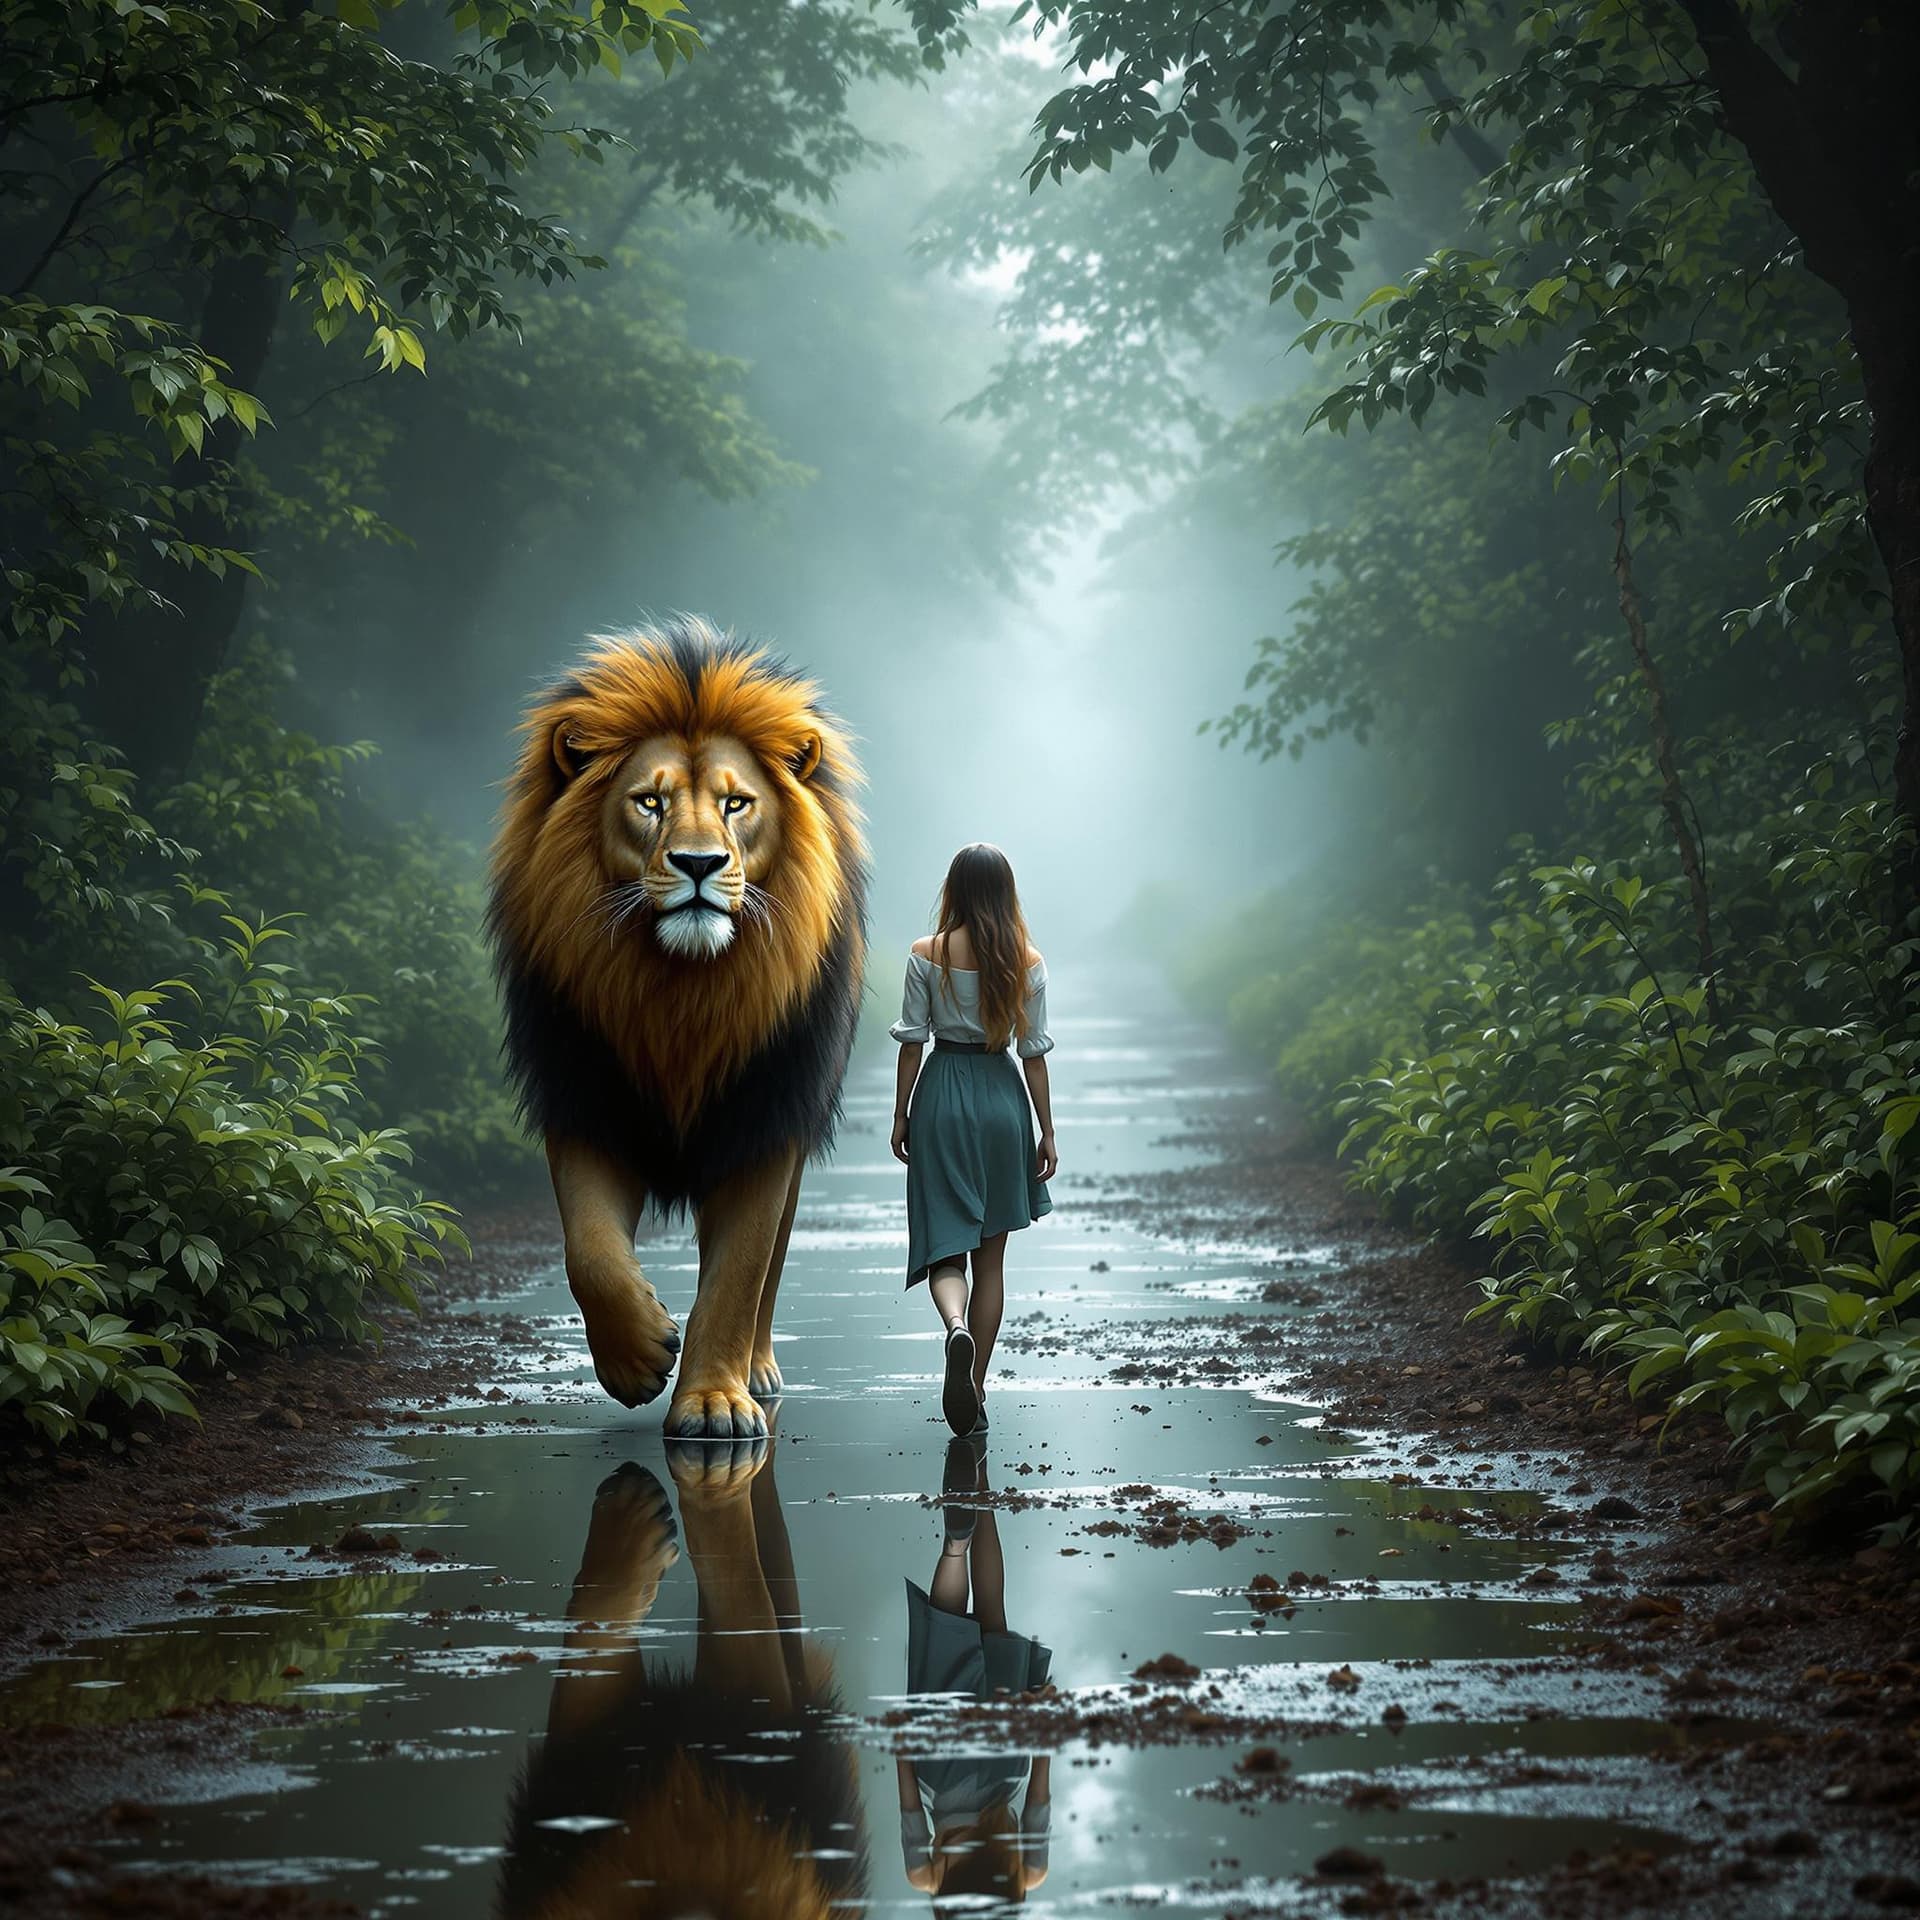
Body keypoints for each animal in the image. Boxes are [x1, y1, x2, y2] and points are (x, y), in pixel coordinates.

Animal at [488, 616, 867, 1437]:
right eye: (649, 803)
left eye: (736, 804)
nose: (698, 863)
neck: (680, 996)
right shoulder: (587, 1101)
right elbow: (589, 1252)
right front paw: (637, 1356)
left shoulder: (763, 1123)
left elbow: (742, 1272)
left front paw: (715, 1404)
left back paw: (756, 1373)